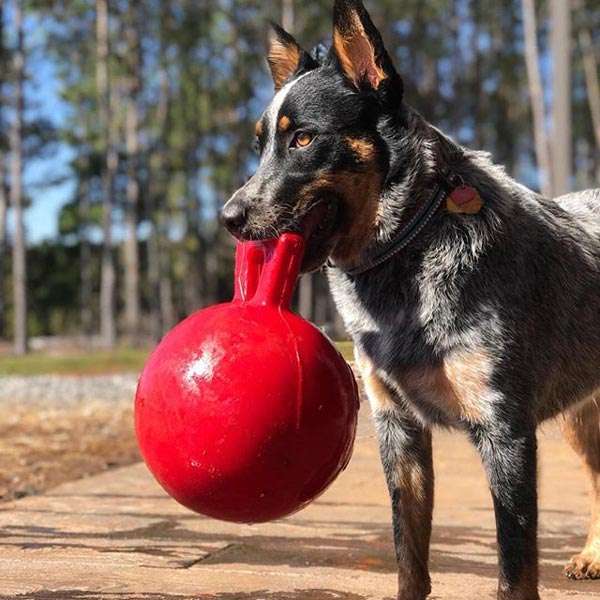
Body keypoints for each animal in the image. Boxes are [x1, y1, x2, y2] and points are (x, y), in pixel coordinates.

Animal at [220, 2, 600, 596]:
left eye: (303, 139)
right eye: (260, 146)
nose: (228, 218)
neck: (408, 248)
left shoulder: (505, 431)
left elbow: (514, 570)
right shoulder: (397, 428)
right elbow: (409, 551)